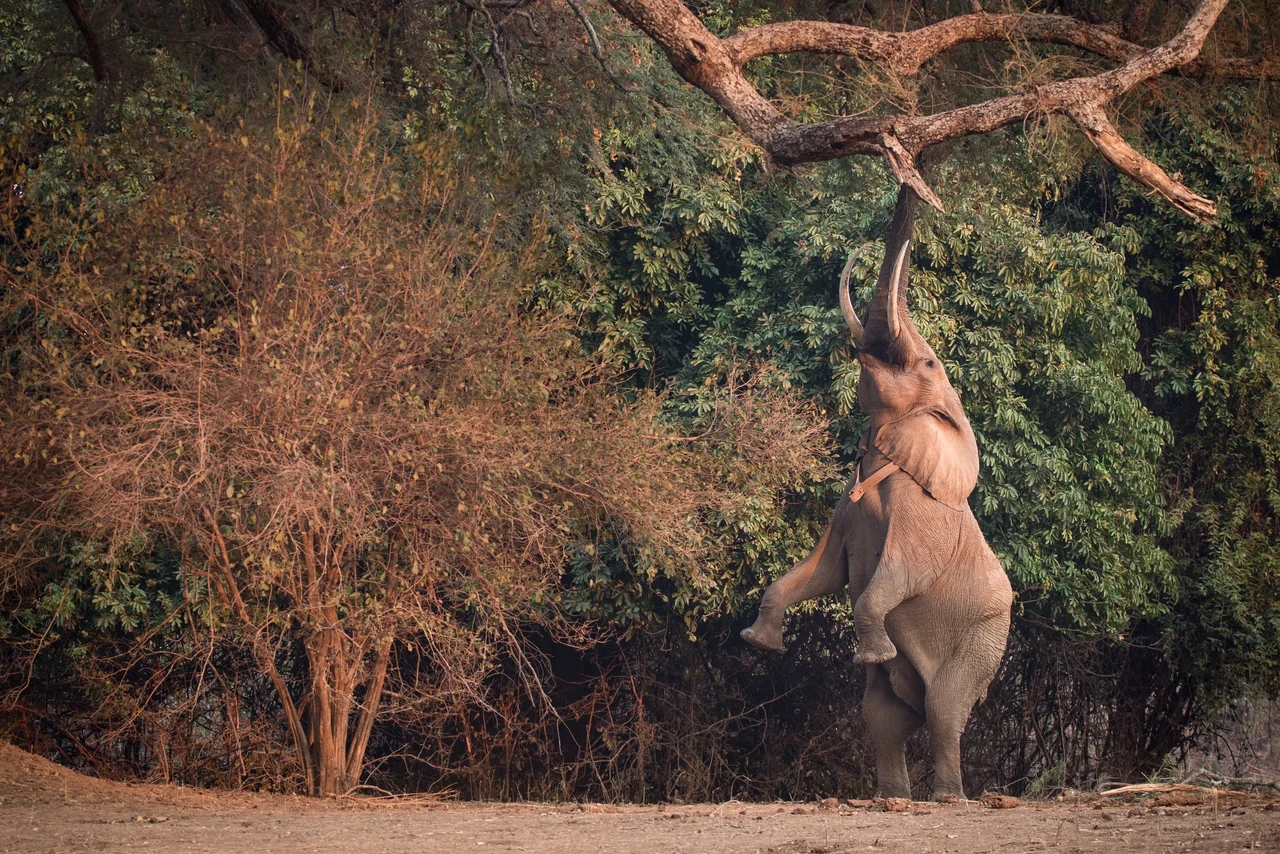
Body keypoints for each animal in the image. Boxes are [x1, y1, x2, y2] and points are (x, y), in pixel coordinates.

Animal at [740, 187, 1013, 801]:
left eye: (927, 362)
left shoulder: (921, 510)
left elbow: (898, 573)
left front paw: (871, 649)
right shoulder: (846, 504)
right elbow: (823, 571)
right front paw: (758, 644)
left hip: (984, 636)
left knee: (943, 708)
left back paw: (947, 798)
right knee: (883, 714)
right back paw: (892, 798)